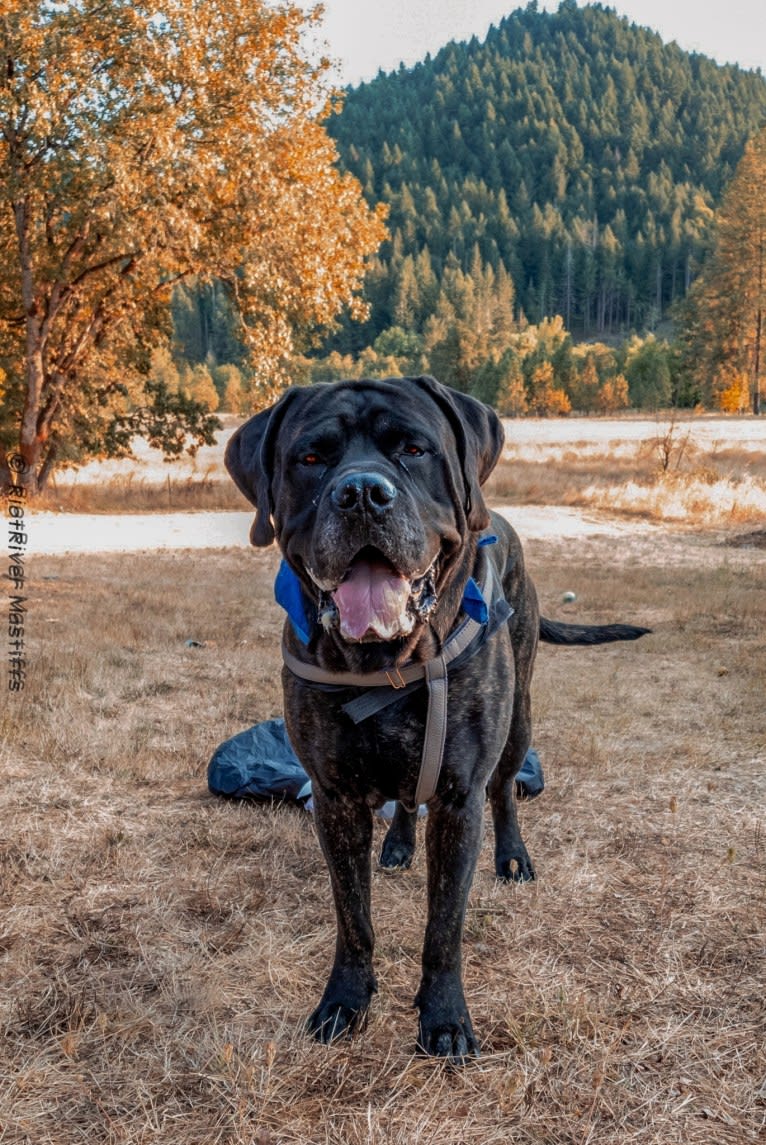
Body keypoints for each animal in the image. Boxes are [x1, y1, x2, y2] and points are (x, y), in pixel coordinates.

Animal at [225, 377, 645, 1062]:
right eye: (311, 458)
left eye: (414, 450)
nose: (361, 493)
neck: (385, 664)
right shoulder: (335, 799)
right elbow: (353, 917)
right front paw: (345, 1001)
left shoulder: (458, 797)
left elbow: (444, 923)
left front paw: (443, 1017)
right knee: (403, 799)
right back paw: (397, 844)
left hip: (519, 720)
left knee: (505, 791)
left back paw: (513, 858)